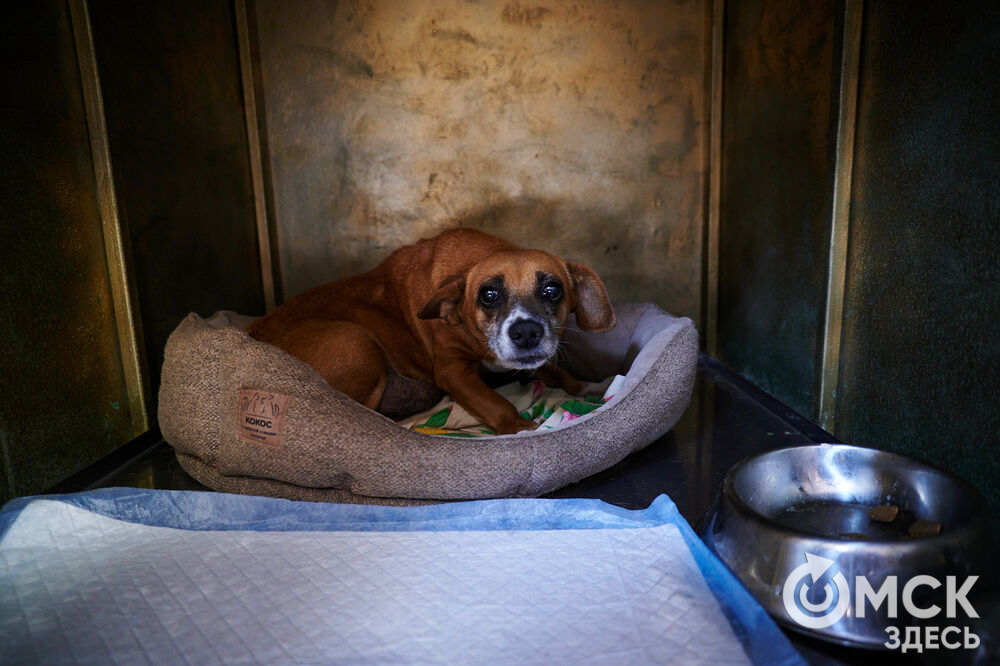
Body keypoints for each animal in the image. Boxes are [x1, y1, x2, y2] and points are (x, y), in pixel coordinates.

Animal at [246, 231, 612, 434]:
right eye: (488, 294)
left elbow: (560, 373)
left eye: (552, 290)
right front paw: (521, 427)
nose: (525, 333)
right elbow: (494, 402)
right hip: (356, 341)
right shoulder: (453, 372)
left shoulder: (538, 357)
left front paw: (588, 386)